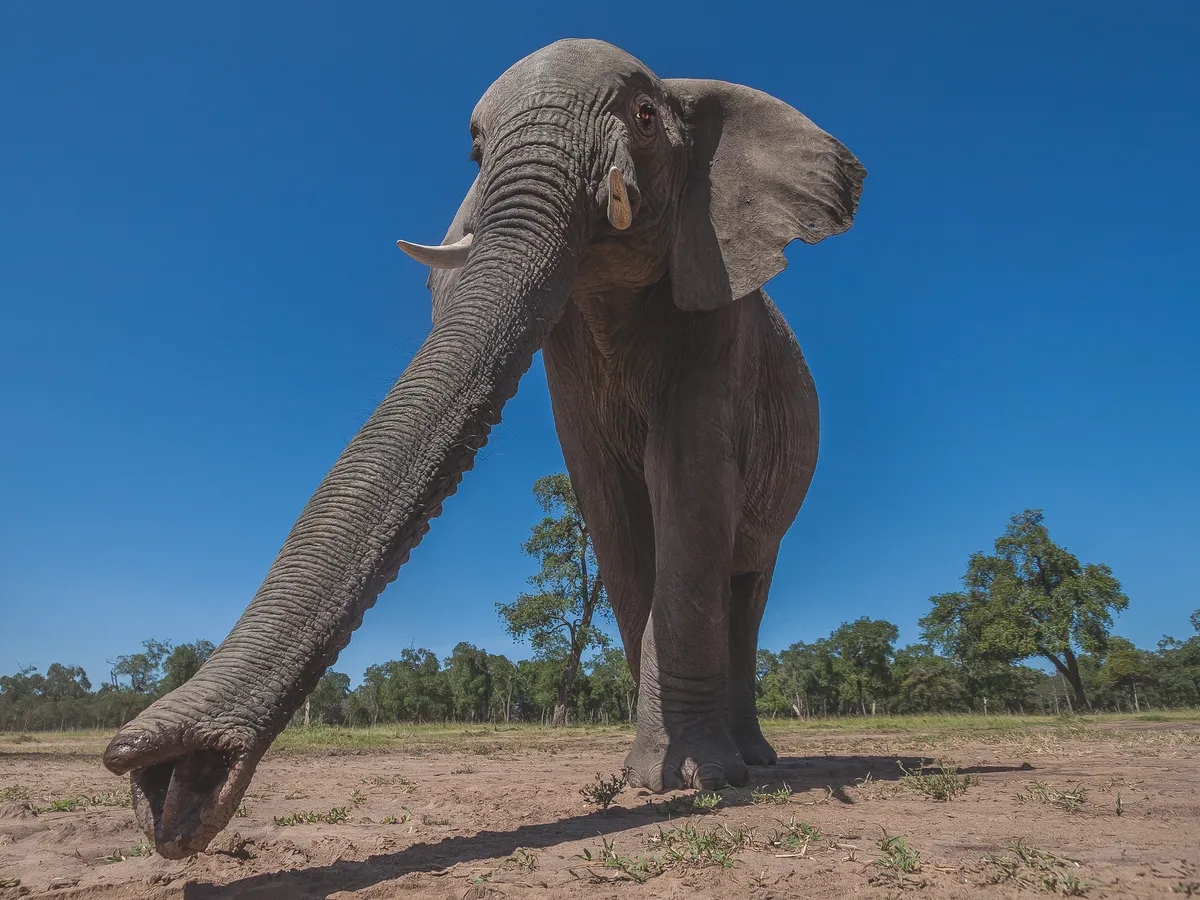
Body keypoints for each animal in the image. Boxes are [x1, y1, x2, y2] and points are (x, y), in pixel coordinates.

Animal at [103, 38, 866, 858]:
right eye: (474, 150)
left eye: (643, 115)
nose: (165, 784)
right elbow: (613, 512)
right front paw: (650, 778)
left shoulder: (717, 322)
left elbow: (687, 495)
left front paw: (695, 781)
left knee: (747, 585)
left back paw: (754, 761)